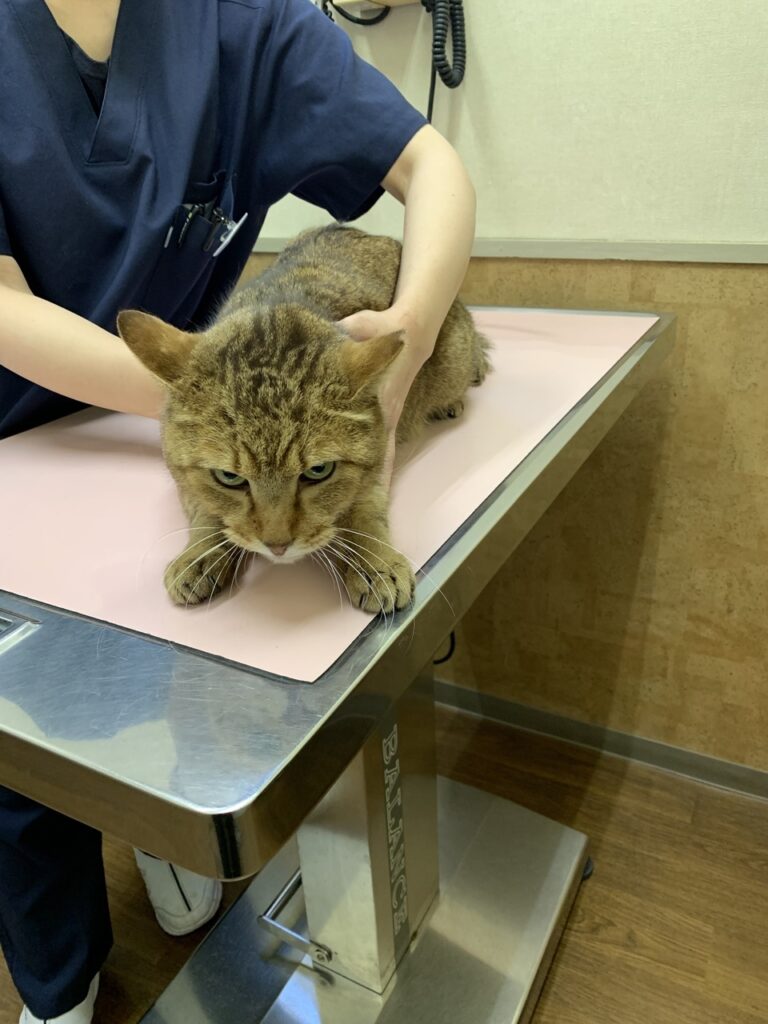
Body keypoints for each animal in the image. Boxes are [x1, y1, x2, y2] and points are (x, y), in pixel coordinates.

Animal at [117, 225, 490, 614]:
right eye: (229, 477)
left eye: (318, 471)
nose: (277, 545)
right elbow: (204, 508)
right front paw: (201, 552)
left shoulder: (376, 460)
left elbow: (364, 508)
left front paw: (374, 560)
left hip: (452, 361)